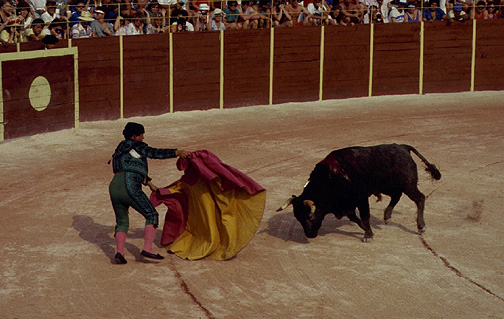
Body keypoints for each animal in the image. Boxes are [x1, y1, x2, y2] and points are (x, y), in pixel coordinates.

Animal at [276, 144, 440, 240]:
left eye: (309, 216)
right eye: (297, 217)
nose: (309, 235)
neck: (331, 177)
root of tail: (403, 147)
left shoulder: (361, 198)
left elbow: (365, 216)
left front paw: (368, 235)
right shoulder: (346, 205)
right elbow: (356, 219)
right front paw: (369, 231)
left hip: (408, 184)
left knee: (420, 198)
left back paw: (421, 226)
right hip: (389, 186)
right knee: (396, 196)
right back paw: (387, 216)